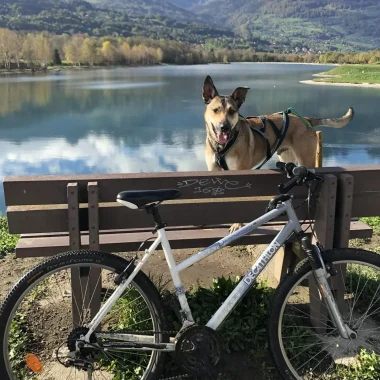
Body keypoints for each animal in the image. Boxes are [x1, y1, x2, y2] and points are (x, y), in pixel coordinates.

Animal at [203, 75, 354, 232]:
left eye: (232, 111)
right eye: (215, 110)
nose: (224, 127)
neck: (222, 146)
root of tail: (306, 119)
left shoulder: (241, 173)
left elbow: (239, 201)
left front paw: (237, 224)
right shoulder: (213, 171)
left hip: (306, 160)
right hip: (286, 157)